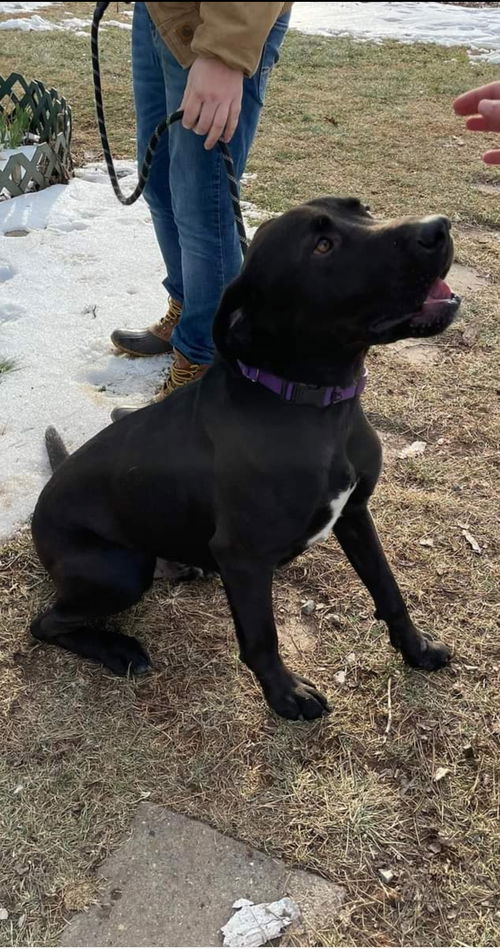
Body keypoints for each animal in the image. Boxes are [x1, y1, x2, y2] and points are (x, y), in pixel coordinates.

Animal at [30, 198, 460, 720]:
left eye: (363, 209)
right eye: (322, 246)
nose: (438, 228)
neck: (314, 407)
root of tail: (42, 499)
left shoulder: (355, 513)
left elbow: (387, 587)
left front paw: (416, 649)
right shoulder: (243, 557)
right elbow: (260, 638)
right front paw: (286, 695)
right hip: (119, 572)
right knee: (44, 624)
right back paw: (118, 650)